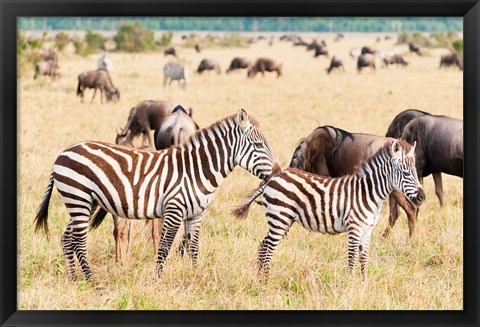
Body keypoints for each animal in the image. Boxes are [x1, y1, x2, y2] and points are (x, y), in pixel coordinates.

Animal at [35, 109, 276, 280]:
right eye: (258, 145)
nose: (276, 172)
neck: (196, 170)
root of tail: (64, 152)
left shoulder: (196, 214)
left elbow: (193, 248)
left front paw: (195, 276)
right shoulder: (174, 210)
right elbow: (164, 247)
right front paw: (156, 280)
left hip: (85, 202)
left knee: (67, 238)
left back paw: (73, 279)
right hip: (79, 197)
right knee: (78, 239)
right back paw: (90, 279)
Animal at [234, 140, 426, 280]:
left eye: (415, 173)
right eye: (406, 174)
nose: (422, 197)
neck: (368, 193)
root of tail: (274, 177)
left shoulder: (367, 230)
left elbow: (364, 258)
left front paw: (364, 284)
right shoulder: (354, 228)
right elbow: (352, 259)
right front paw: (350, 286)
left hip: (283, 219)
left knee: (263, 246)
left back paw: (261, 279)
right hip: (279, 219)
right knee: (267, 249)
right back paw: (266, 281)